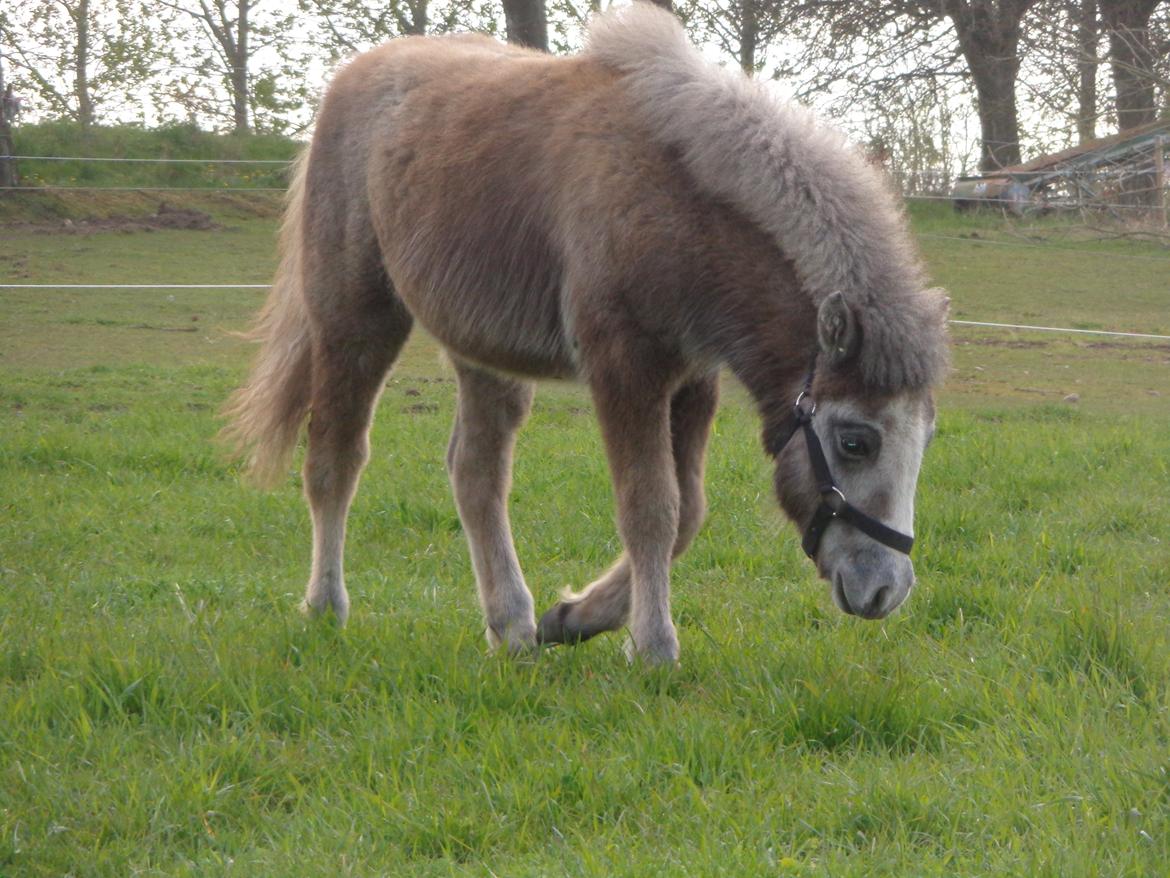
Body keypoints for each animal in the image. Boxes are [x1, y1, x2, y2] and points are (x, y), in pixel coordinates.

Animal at [221, 3, 950, 664]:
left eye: (925, 439)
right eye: (856, 441)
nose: (887, 589)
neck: (677, 203)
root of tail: (352, 78)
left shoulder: (692, 379)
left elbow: (688, 511)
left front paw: (574, 618)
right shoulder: (624, 368)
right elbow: (650, 507)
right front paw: (652, 647)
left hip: (484, 351)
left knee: (476, 473)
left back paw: (513, 626)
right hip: (355, 322)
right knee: (334, 459)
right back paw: (325, 606)